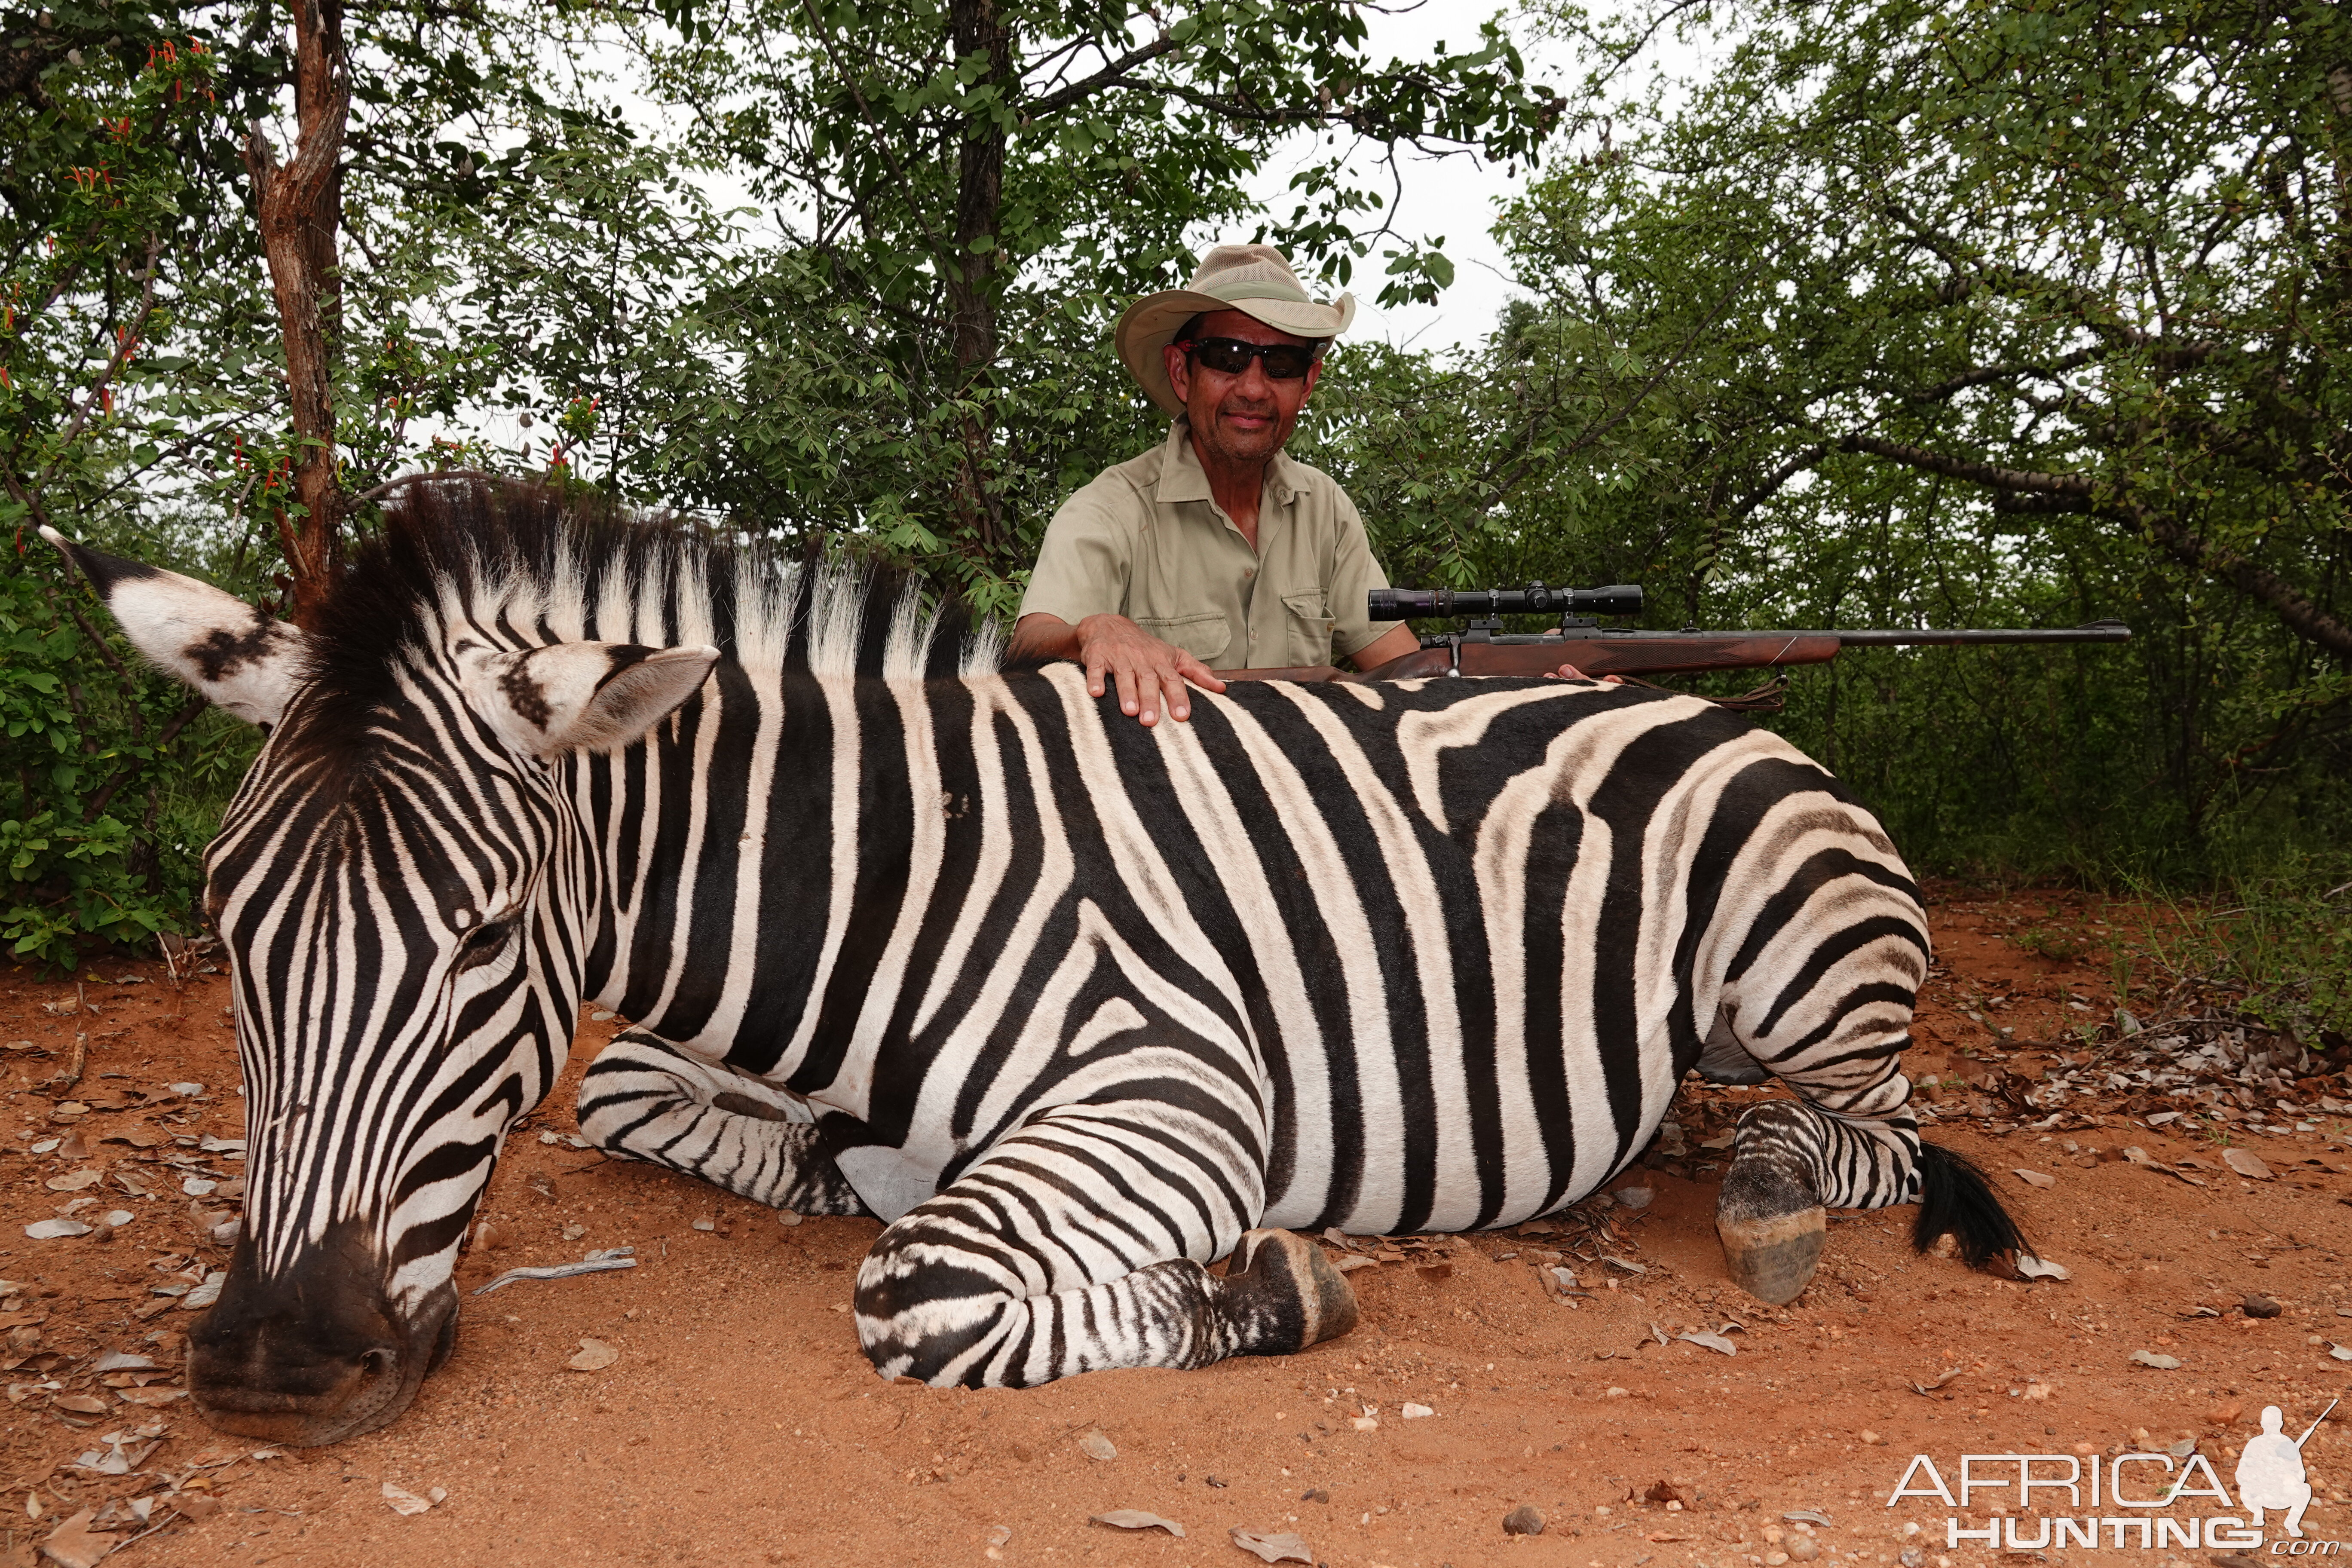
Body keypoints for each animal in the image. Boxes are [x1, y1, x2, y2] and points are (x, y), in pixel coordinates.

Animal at [41, 475, 2022, 1448]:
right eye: (226, 930)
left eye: (475, 941)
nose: (272, 1370)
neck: (873, 881)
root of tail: (1711, 702)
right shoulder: (688, 1047)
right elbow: (630, 1101)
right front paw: (827, 1157)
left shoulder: (1177, 1094)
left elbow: (922, 1285)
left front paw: (1273, 1288)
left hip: (1799, 963)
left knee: (1869, 1130)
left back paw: (1765, 1197)